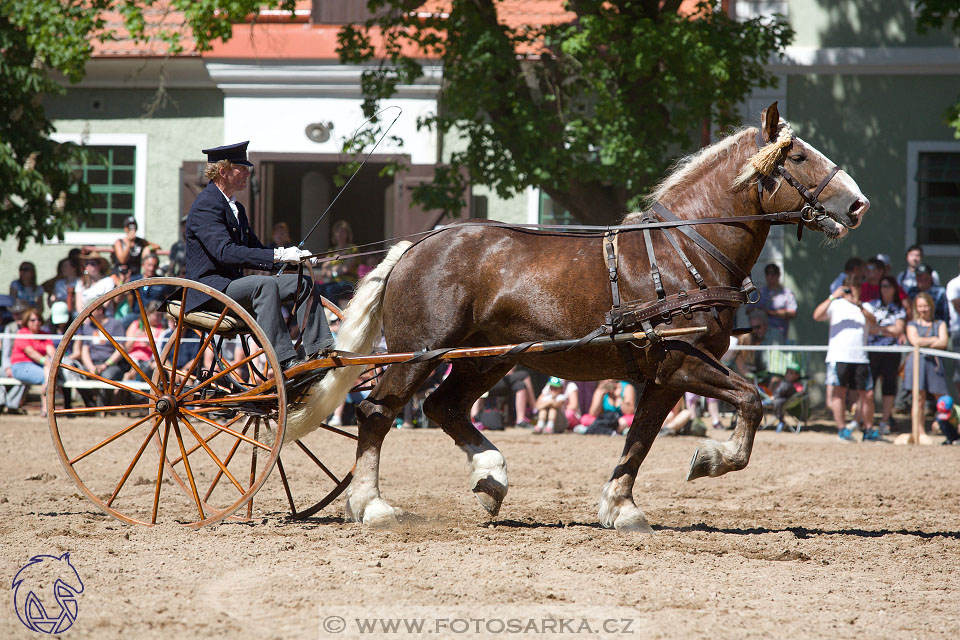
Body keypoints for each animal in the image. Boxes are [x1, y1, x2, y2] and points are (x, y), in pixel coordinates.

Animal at [334, 101, 868, 528]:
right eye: (797, 156)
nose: (858, 204)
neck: (684, 252)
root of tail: (414, 247)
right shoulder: (682, 361)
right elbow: (752, 400)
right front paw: (712, 459)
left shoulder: (663, 375)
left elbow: (640, 437)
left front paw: (621, 506)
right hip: (419, 353)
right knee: (375, 413)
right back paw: (373, 505)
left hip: (489, 358)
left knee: (443, 407)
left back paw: (491, 477)